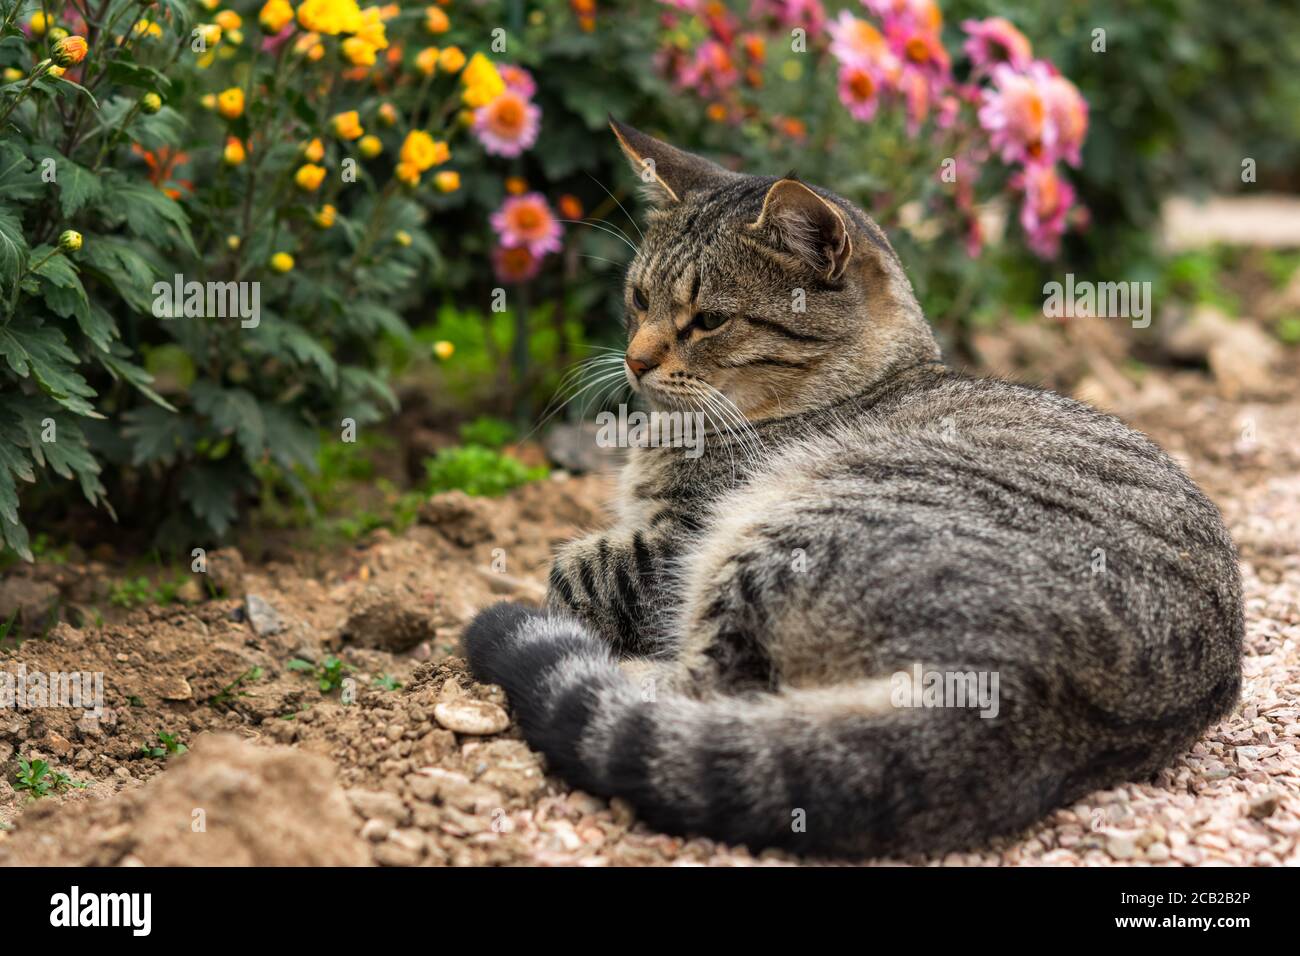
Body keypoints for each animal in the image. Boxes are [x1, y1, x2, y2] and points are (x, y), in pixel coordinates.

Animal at [462, 119, 1242, 858]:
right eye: (637, 298)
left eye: (710, 319)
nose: (634, 359)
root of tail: (1028, 696)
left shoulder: (668, 546)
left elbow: (572, 569)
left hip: (778, 535)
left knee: (705, 691)